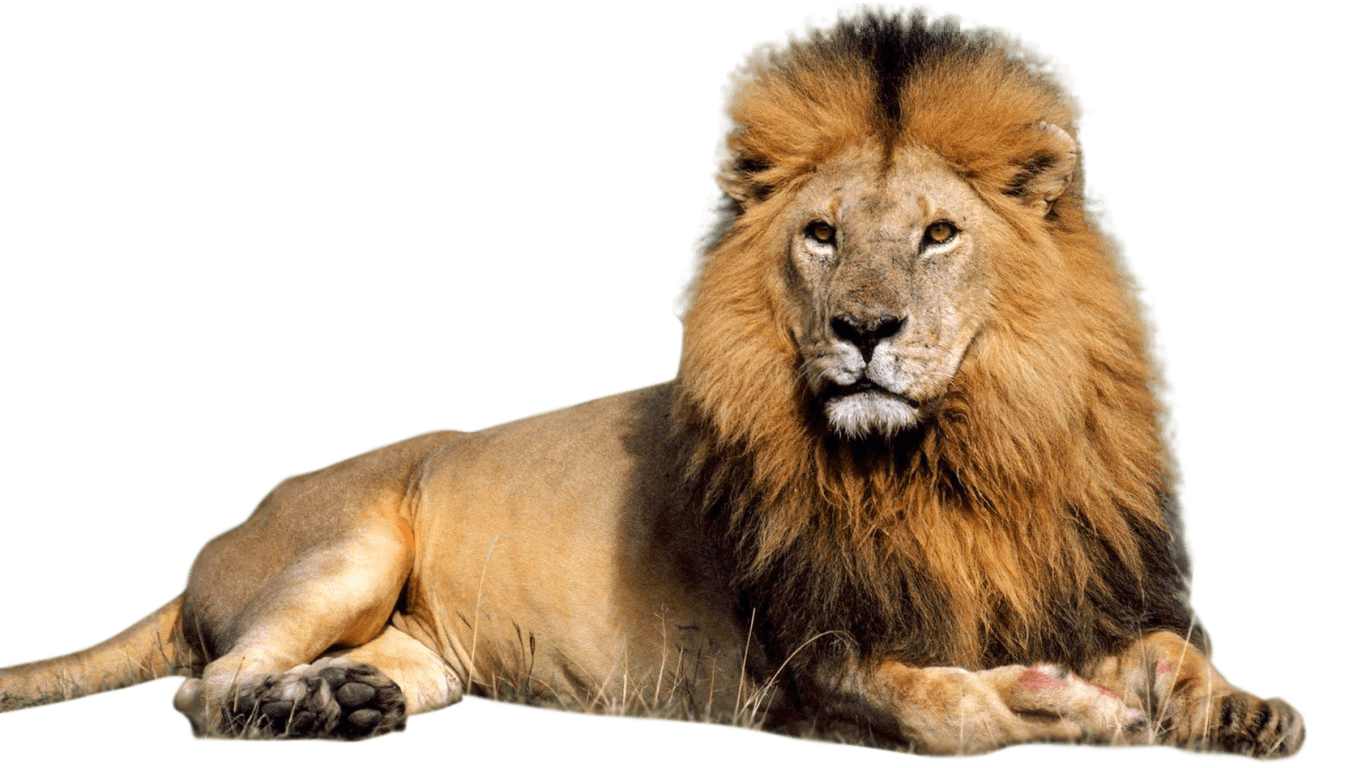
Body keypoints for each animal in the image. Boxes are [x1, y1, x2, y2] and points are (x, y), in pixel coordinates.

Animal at [0, 5, 1305, 761]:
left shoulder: (1073, 579)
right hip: (348, 545)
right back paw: (285, 710)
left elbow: (1171, 651)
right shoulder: (806, 662)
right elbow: (954, 711)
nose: (863, 329)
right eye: (821, 235)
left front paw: (1240, 709)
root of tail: (215, 538)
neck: (953, 460)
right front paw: (1066, 708)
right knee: (206, 685)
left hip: (423, 644)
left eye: (938, 235)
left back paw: (343, 702)